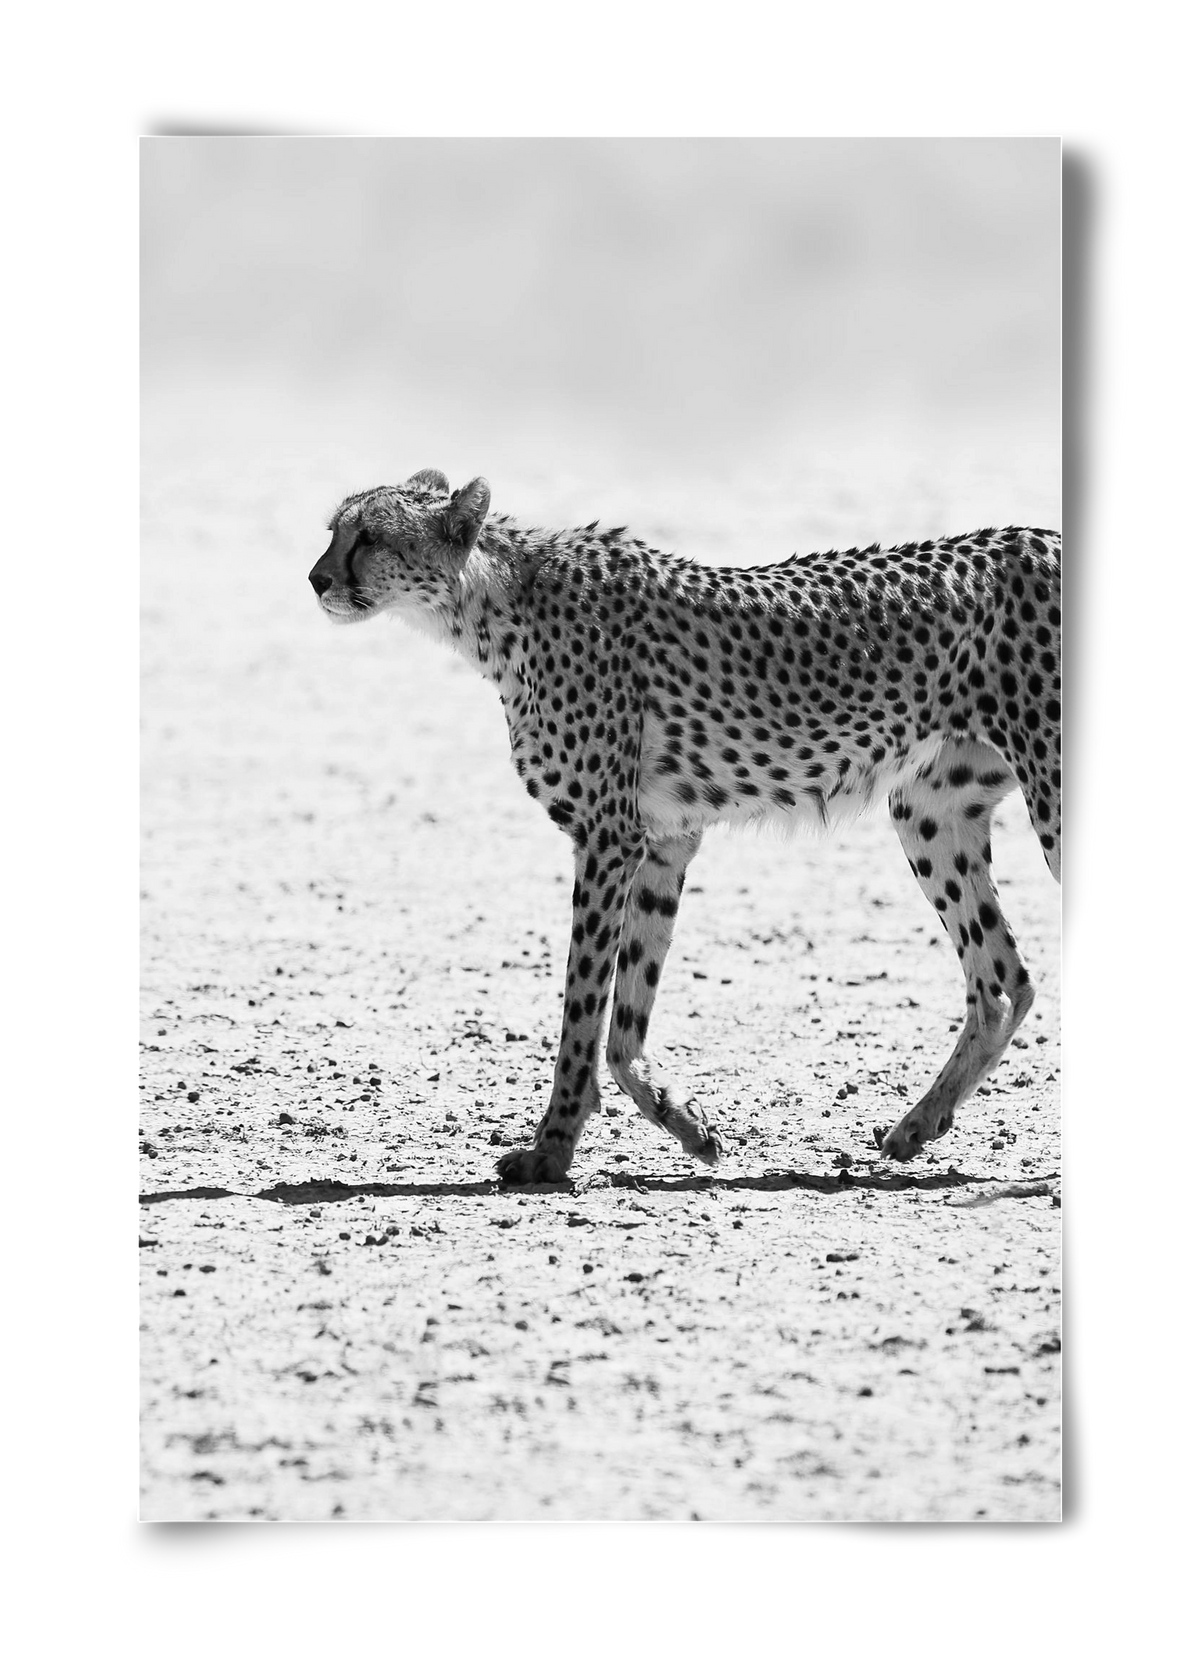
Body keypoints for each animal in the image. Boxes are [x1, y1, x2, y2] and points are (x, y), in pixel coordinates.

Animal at [309, 469, 1060, 1183]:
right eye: (334, 530)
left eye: (369, 536)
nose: (316, 578)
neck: (492, 601)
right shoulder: (663, 840)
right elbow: (624, 1021)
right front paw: (688, 1124)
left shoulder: (607, 837)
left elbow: (583, 1008)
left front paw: (551, 1151)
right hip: (930, 811)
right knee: (1002, 980)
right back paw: (917, 1125)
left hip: (1046, 797)